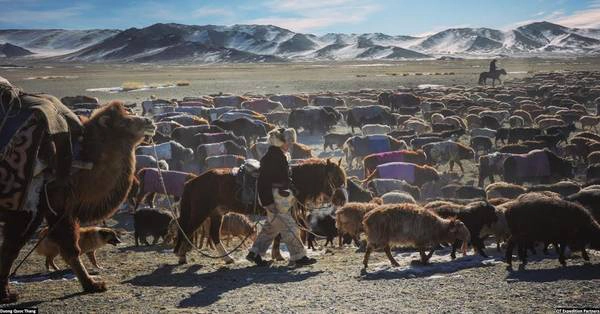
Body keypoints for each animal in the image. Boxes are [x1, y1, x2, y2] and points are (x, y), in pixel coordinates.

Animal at [173, 158, 346, 264]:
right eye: (336, 177)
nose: (342, 200)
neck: (291, 180)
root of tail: (193, 181)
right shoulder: (282, 213)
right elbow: (281, 232)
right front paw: (279, 255)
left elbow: (275, 233)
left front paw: (275, 255)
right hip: (200, 212)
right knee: (187, 230)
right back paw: (182, 257)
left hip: (217, 214)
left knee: (214, 235)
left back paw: (228, 258)